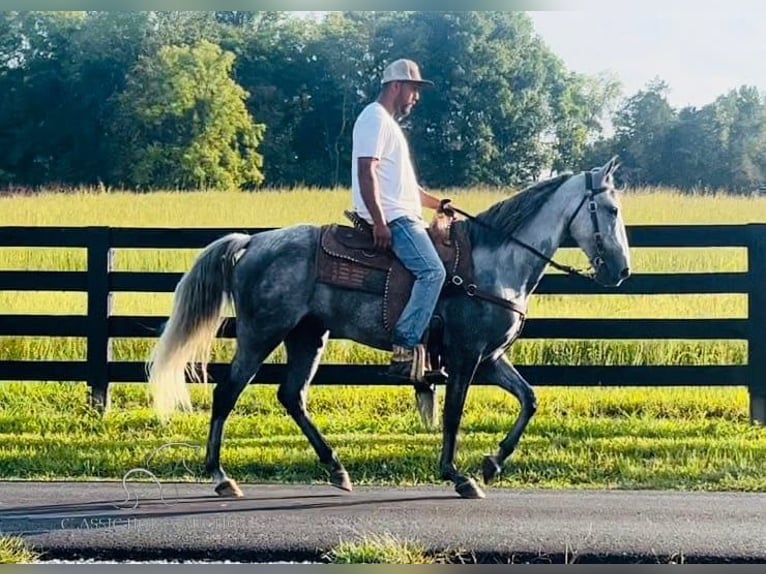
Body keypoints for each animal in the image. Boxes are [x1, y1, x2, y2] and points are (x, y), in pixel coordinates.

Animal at [148, 156, 632, 500]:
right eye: (610, 209)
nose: (622, 270)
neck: (496, 262)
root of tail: (252, 241)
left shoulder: (491, 358)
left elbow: (529, 400)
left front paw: (492, 464)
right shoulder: (466, 356)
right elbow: (454, 414)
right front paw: (458, 475)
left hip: (308, 336)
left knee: (292, 396)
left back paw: (336, 468)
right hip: (260, 333)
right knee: (227, 392)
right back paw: (221, 476)